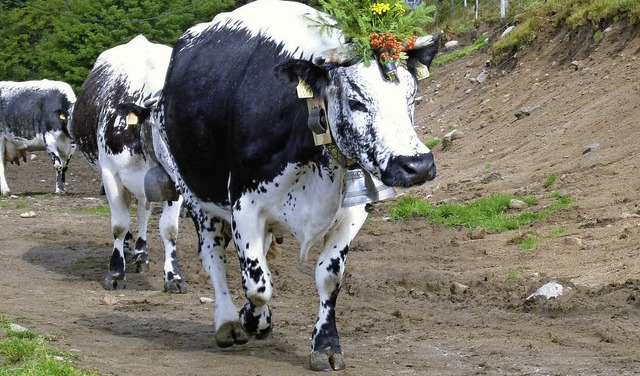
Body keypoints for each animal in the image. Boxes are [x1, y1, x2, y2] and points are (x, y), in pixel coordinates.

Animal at [72, 35, 188, 294]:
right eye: (163, 125)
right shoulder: (110, 175)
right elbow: (119, 225)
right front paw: (115, 273)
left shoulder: (172, 184)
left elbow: (169, 229)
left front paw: (173, 277)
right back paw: (126, 248)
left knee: (144, 210)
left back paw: (141, 254)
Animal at [153, 0, 440, 370]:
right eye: (356, 101)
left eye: (411, 97)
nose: (417, 165)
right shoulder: (244, 204)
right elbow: (258, 284)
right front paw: (253, 320)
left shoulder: (354, 210)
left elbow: (329, 276)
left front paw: (326, 344)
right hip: (195, 194)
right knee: (213, 256)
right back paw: (229, 321)